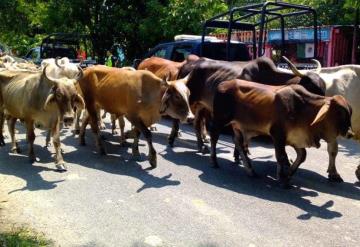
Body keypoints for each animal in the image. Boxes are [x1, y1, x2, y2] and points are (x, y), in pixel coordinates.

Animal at [212, 80, 352, 186]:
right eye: (340, 112)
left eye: (350, 112)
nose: (350, 134)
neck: (303, 108)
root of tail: (222, 84)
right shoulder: (278, 135)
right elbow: (281, 156)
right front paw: (283, 179)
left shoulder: (294, 138)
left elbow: (302, 155)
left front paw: (288, 174)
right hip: (219, 120)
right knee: (214, 136)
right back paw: (214, 161)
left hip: (238, 126)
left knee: (238, 143)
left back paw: (250, 171)